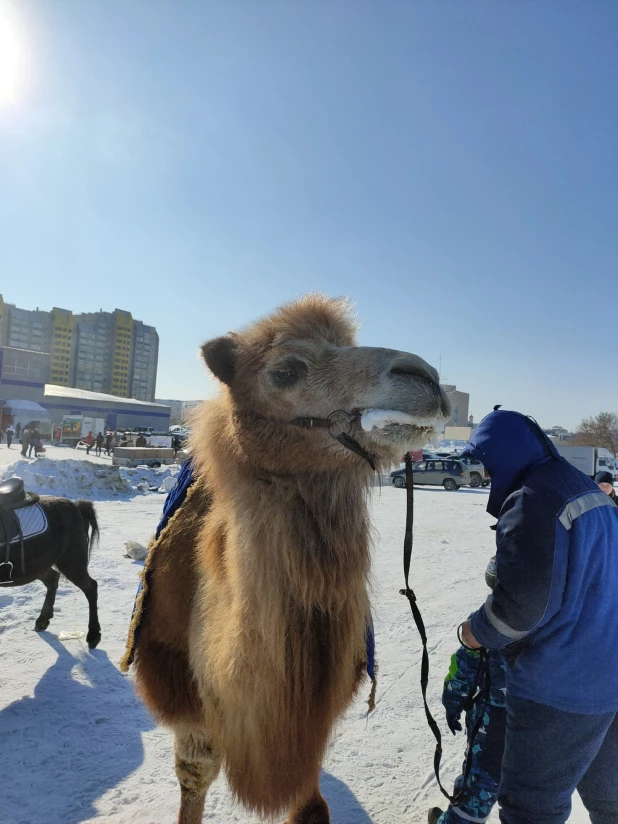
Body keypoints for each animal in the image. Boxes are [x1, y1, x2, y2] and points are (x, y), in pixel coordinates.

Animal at [0, 476, 101, 652]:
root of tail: (76, 506)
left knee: (91, 588)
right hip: (38, 565)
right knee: (53, 578)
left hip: (71, 563)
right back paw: (43, 619)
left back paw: (93, 635)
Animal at [122, 296, 448, 824]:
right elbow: (195, 774)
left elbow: (310, 804)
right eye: (285, 371)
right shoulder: (188, 710)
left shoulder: (308, 727)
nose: (424, 377)